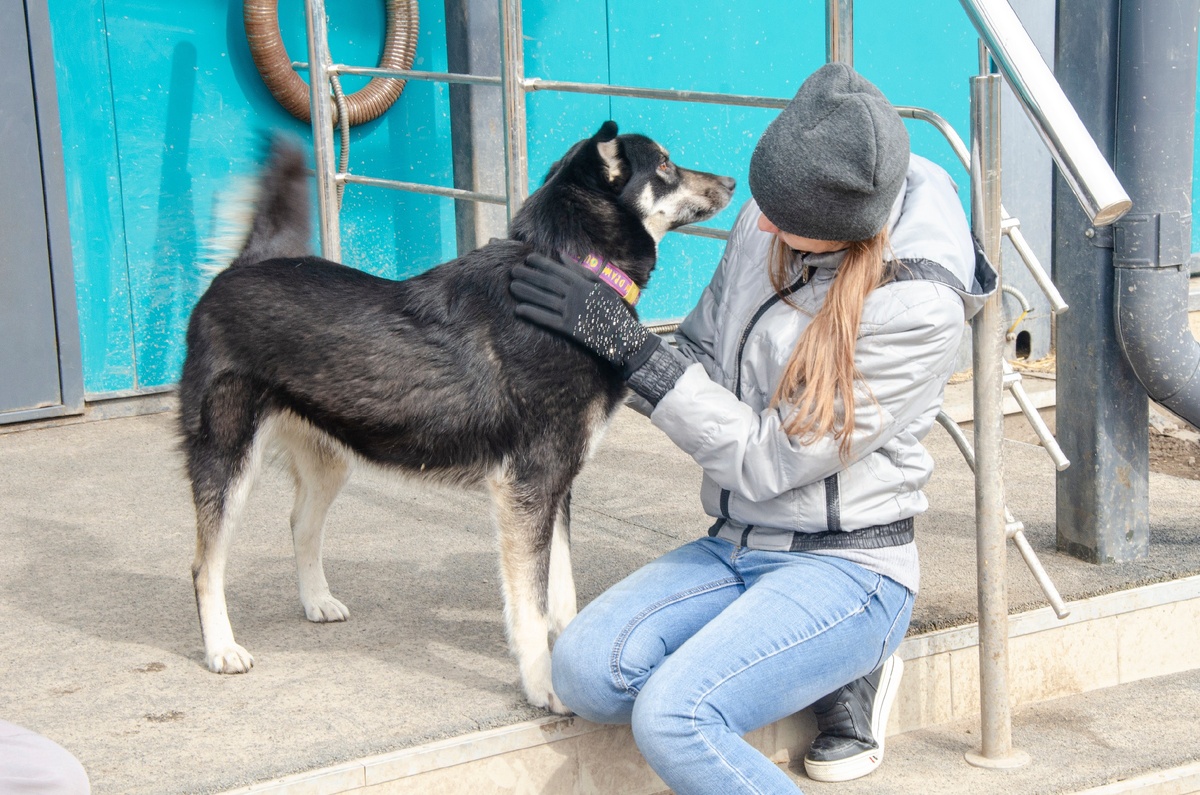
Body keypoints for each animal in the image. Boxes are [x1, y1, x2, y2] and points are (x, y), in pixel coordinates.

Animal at [180, 121, 729, 710]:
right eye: (666, 164)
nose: (730, 181)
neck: (574, 272)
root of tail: (243, 266)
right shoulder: (529, 487)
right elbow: (530, 605)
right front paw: (542, 685)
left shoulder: (556, 488)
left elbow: (560, 594)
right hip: (227, 458)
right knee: (205, 565)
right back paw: (222, 648)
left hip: (330, 459)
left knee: (301, 525)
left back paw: (316, 600)